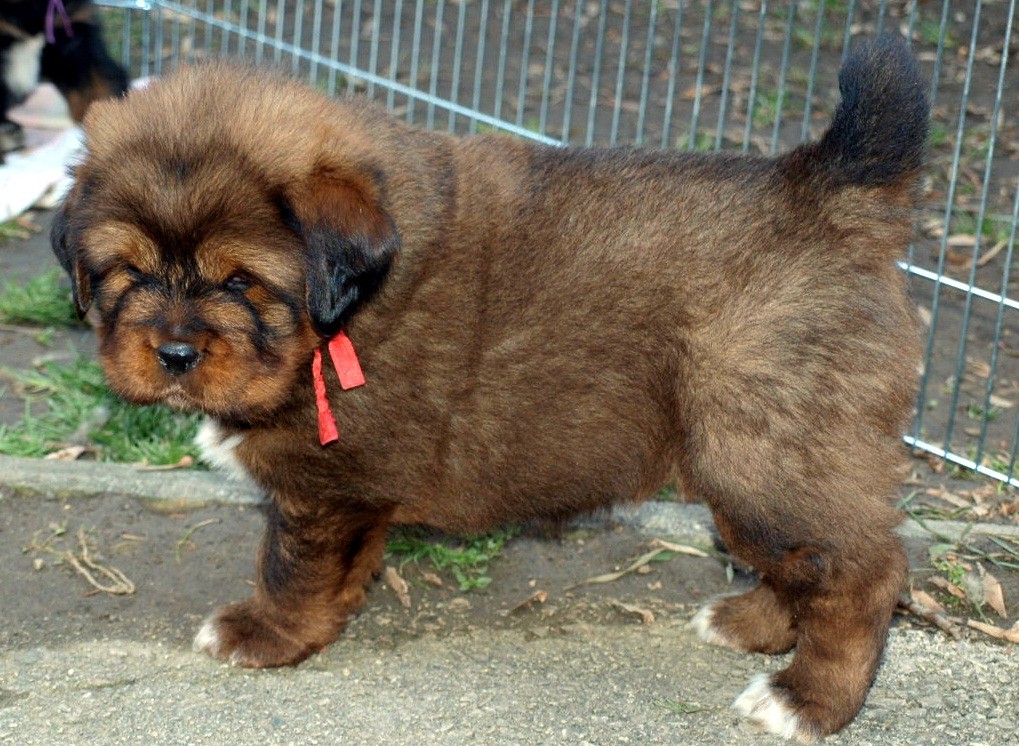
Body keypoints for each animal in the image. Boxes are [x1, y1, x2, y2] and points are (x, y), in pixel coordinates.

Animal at [51, 36, 928, 741]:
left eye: (240, 281)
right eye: (127, 271)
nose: (172, 352)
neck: (338, 320)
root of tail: (827, 191)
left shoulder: (324, 486)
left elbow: (289, 567)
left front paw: (263, 635)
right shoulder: (349, 495)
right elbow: (339, 569)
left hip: (765, 452)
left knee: (861, 576)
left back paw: (805, 702)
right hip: (750, 471)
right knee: (802, 565)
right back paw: (749, 623)